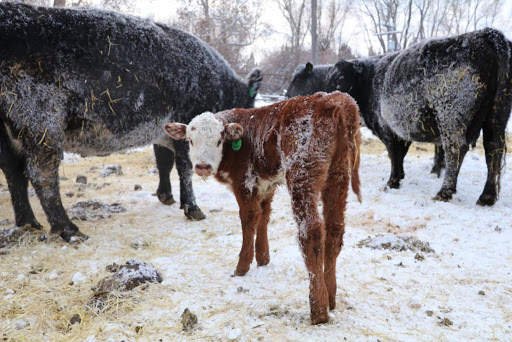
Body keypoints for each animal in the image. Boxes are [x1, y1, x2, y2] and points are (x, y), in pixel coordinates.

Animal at [0, 3, 262, 243]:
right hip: (41, 116)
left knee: (14, 171)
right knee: (41, 173)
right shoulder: (186, 123)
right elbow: (185, 167)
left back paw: (28, 223)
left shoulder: (161, 131)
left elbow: (163, 163)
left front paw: (166, 196)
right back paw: (69, 230)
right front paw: (193, 209)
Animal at [164, 91, 360, 326]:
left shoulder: (244, 182)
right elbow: (264, 216)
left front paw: (242, 266)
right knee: (334, 230)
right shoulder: (266, 183)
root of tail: (332, 100)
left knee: (311, 233)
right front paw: (263, 257)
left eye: (219, 140)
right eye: (191, 141)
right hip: (339, 175)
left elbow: (249, 219)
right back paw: (330, 296)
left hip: (302, 174)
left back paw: (318, 309)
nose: (202, 166)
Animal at [288, 28, 512, 204]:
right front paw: (400, 176)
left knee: (456, 150)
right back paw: (487, 196)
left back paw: (444, 192)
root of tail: (485, 34)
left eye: (340, 78)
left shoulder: (386, 126)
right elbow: (400, 154)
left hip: (451, 115)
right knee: (493, 150)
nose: (287, 95)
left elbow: (394, 154)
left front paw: (393, 181)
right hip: (496, 117)